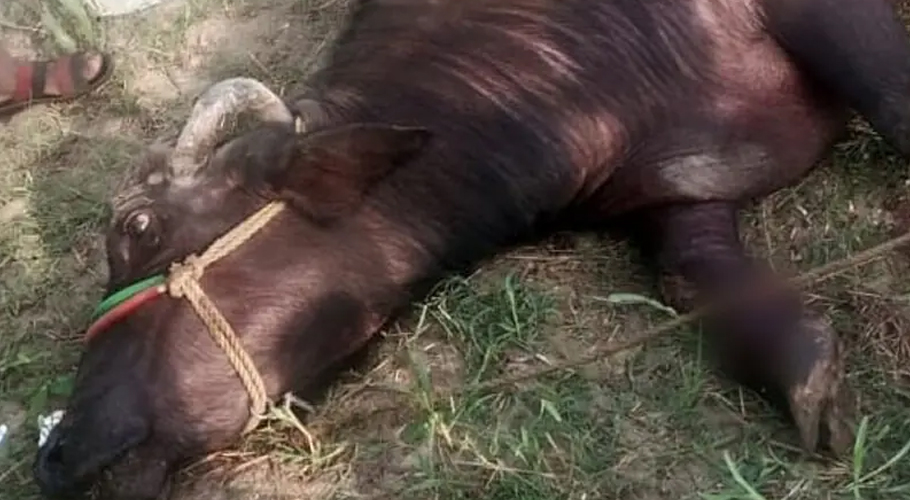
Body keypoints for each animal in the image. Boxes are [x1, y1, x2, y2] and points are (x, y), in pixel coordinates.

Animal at [32, 0, 910, 498]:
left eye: (139, 228)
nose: (55, 453)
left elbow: (898, 109)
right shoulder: (674, 202)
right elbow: (694, 280)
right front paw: (809, 374)